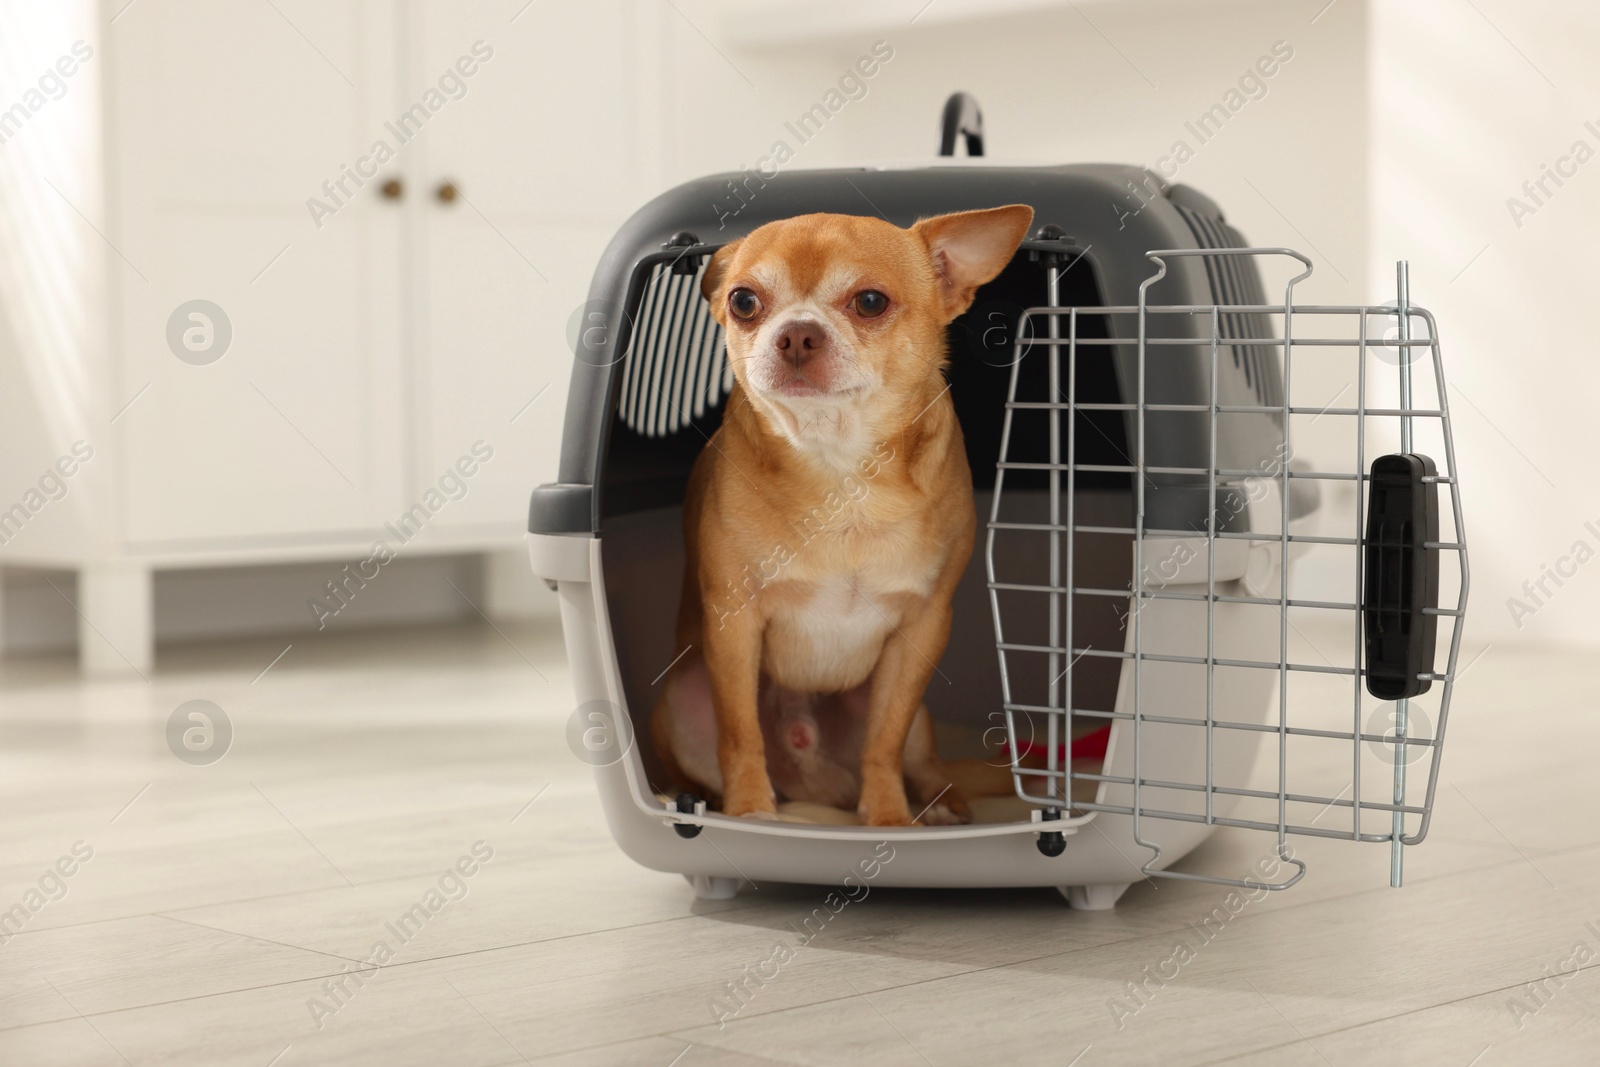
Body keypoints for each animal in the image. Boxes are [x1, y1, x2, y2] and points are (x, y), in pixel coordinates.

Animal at [652, 206, 1036, 825]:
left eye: (871, 302)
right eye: (743, 301)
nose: (797, 332)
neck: (840, 469)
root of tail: (815, 785)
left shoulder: (921, 631)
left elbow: (884, 740)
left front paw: (889, 819)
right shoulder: (733, 625)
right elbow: (740, 735)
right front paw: (751, 813)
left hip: (919, 721)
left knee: (923, 763)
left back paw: (942, 808)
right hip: (684, 699)